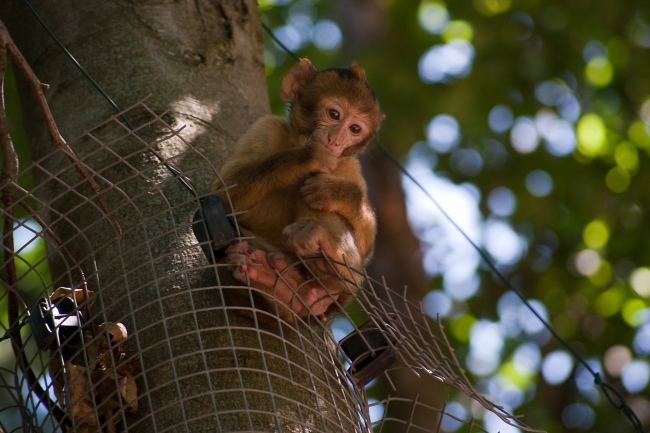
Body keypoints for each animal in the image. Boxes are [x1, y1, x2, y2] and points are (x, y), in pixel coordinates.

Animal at [213, 57, 382, 324]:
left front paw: (336, 192)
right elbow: (222, 190)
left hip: (344, 288)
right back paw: (273, 282)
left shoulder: (348, 166)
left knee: (315, 204)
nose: (335, 141)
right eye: (334, 114)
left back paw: (325, 259)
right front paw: (307, 156)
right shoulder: (266, 126)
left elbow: (365, 248)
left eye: (355, 129)